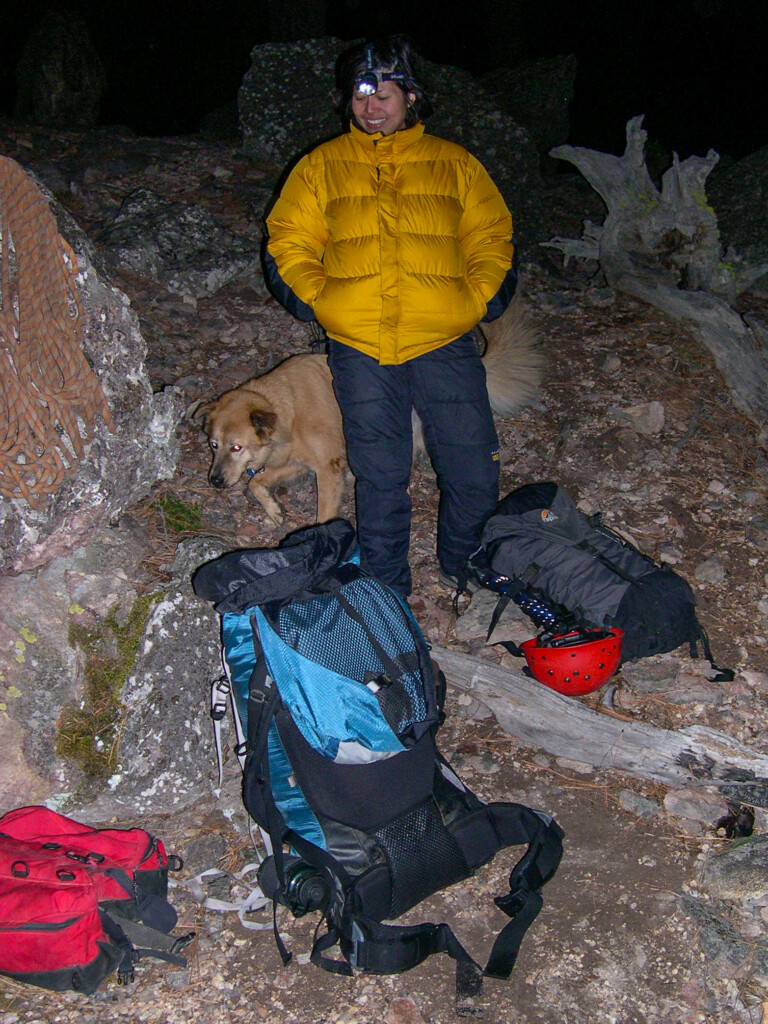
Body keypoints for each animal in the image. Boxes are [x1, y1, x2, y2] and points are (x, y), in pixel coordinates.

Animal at [195, 294, 544, 520]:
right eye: (213, 445)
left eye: (236, 447)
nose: (214, 482)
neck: (285, 409)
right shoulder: (299, 463)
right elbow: (255, 482)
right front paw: (274, 510)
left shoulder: (327, 468)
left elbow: (323, 514)